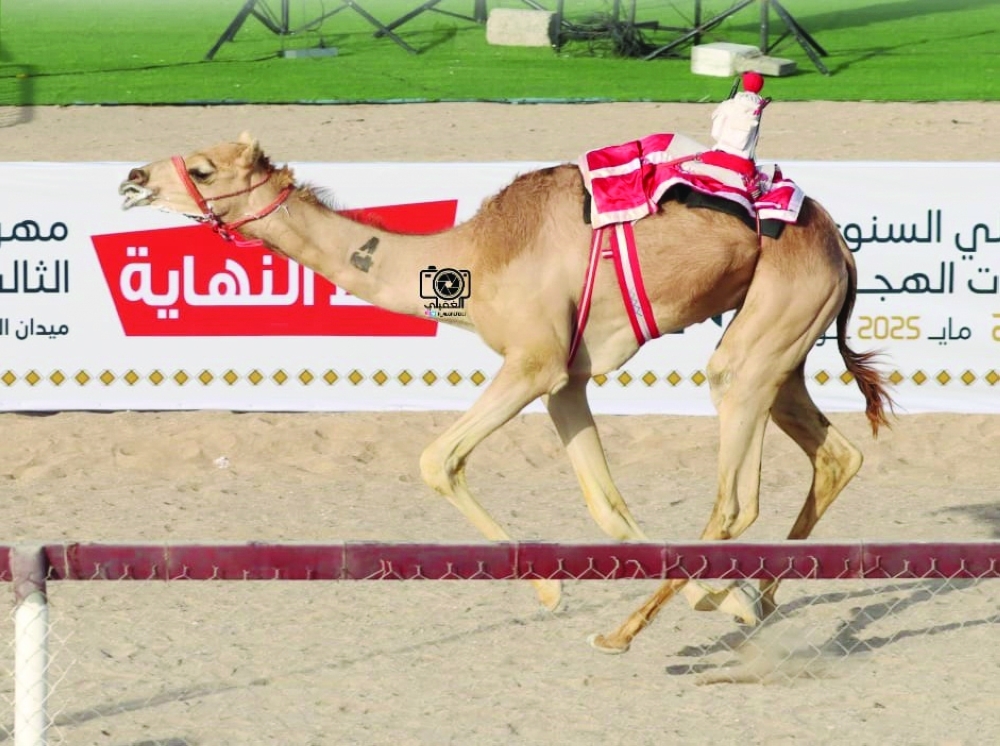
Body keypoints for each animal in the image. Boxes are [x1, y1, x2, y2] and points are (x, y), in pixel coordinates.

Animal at [118, 132, 892, 654]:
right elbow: (607, 507)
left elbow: (437, 460)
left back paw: (629, 631)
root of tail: (843, 246)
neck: (471, 260)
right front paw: (730, 602)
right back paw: (758, 596)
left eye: (202, 168)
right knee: (839, 456)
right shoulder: (566, 381)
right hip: (783, 344)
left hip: (764, 334)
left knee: (736, 494)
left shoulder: (533, 364)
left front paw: (552, 590)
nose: (130, 177)